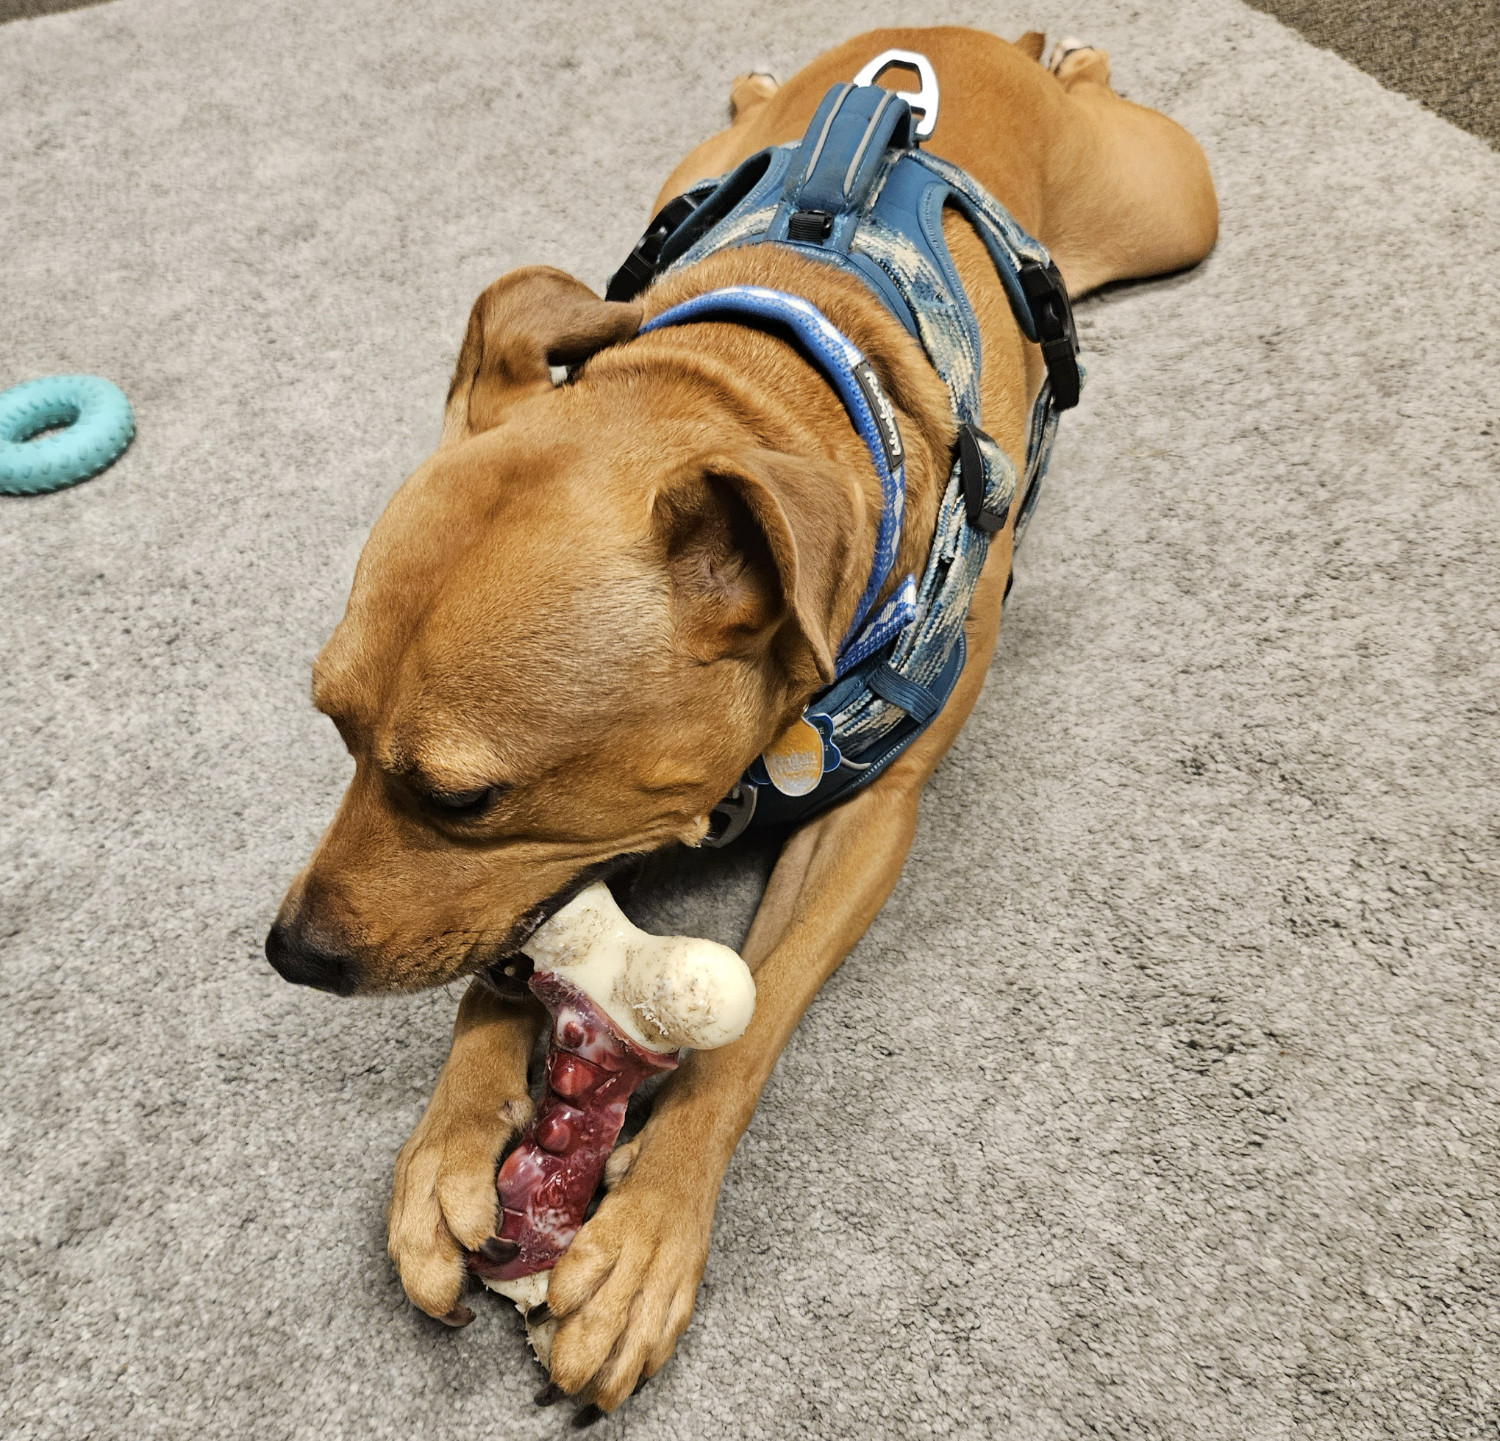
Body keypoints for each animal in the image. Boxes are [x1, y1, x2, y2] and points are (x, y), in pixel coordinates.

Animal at [264, 22, 1212, 1415]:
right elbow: (499, 961)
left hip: (1172, 201)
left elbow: (744, 1026)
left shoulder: (865, 826)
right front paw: (450, 1141)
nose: (292, 953)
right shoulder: (551, 873)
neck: (762, 387)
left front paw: (645, 1238)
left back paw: (1076, 53)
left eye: (463, 797)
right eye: (330, 726)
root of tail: (958, 46)